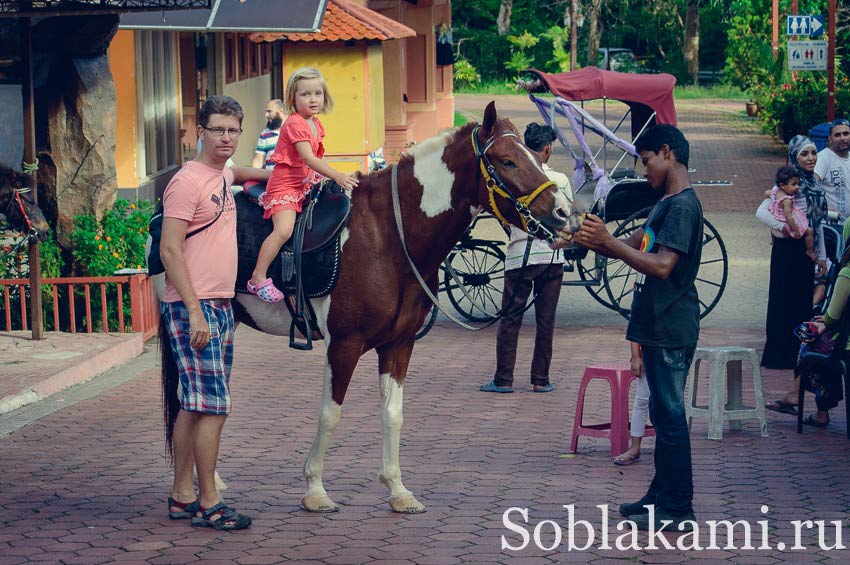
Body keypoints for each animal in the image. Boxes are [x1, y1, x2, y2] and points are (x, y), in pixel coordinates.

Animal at [232, 101, 576, 512]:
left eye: (535, 158)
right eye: (507, 161)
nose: (563, 212)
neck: (386, 237)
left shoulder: (399, 344)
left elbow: (393, 414)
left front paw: (397, 489)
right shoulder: (344, 344)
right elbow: (330, 413)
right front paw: (315, 490)